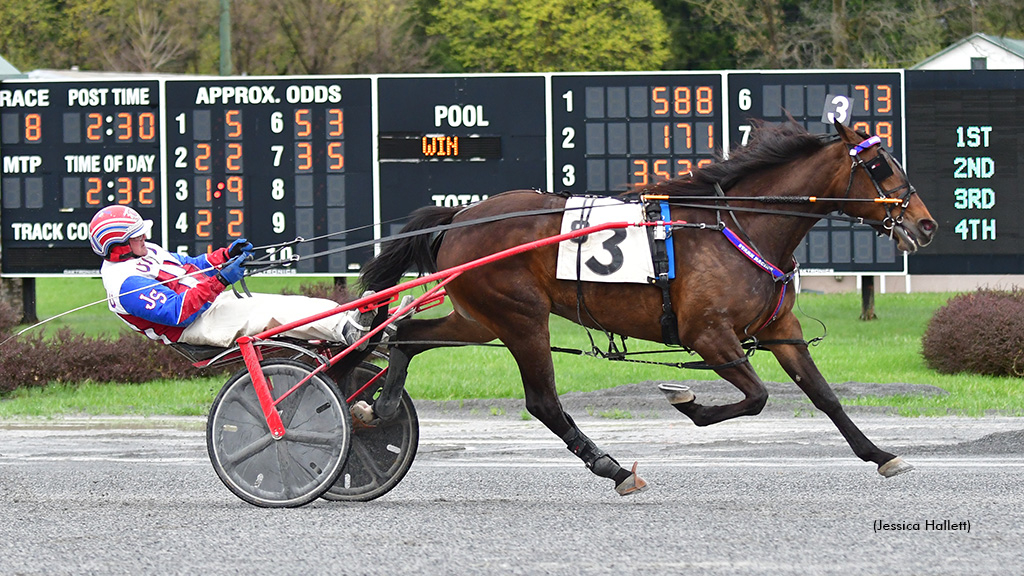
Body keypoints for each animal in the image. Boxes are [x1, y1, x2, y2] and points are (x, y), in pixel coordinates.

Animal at [358, 120, 937, 494]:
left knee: (407, 335)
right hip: (522, 319)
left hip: (480, 318)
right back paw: (612, 469)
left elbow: (824, 397)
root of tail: (459, 218)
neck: (738, 226)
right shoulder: (708, 335)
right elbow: (756, 396)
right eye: (879, 165)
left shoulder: (780, 329)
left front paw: (882, 456)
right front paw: (689, 402)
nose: (925, 224)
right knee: (543, 403)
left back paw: (380, 407)